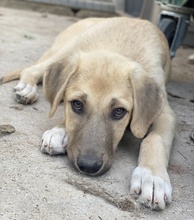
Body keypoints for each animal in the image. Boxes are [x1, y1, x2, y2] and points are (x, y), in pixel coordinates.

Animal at [0, 16, 177, 210]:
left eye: (119, 111)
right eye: (77, 104)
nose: (89, 167)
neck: (118, 46)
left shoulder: (165, 113)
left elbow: (155, 139)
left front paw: (151, 177)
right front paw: (59, 131)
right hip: (65, 49)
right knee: (34, 70)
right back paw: (27, 88)